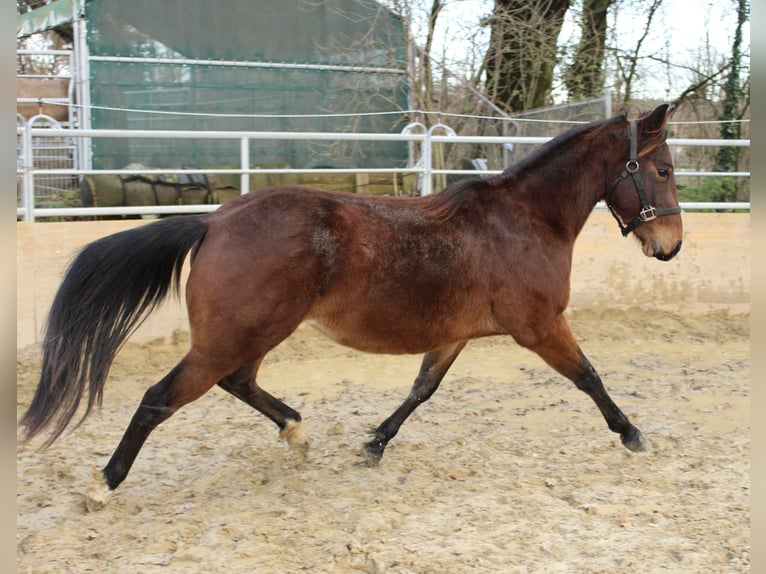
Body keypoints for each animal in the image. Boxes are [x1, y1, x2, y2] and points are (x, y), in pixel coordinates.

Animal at [21, 104, 688, 512]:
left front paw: (374, 445)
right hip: (235, 334)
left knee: (238, 382)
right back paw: (103, 486)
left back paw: (296, 433)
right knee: (162, 397)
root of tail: (213, 220)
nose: (670, 246)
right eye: (661, 167)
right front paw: (632, 434)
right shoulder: (540, 325)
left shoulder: (457, 333)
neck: (523, 220)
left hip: (250, 332)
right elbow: (589, 376)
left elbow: (422, 390)